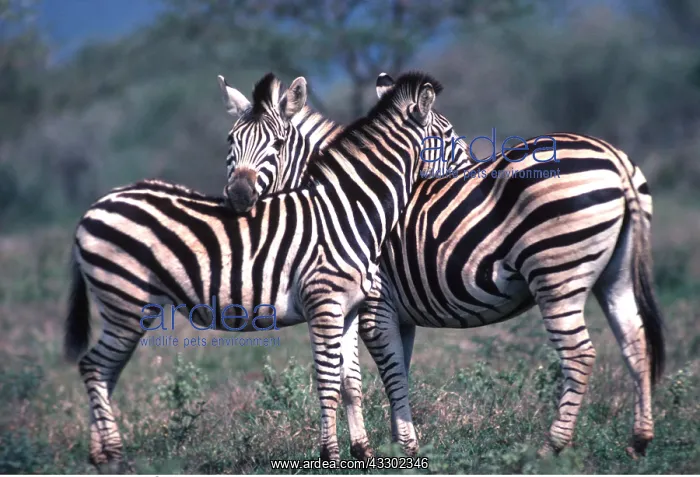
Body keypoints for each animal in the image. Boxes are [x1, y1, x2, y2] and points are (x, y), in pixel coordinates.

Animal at [63, 71, 461, 470]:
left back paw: (100, 455)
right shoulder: (323, 304)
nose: (470, 167)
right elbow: (328, 381)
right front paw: (329, 455)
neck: (349, 211)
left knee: (105, 372)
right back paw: (114, 457)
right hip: (125, 300)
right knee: (94, 367)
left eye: (278, 142)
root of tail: (96, 205)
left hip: (127, 306)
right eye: (446, 135)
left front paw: (362, 451)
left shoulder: (348, 309)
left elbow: (351, 382)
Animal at [220, 72, 665, 459]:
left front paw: (401, 447)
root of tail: (613, 156)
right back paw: (639, 441)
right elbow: (375, 375)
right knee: (634, 340)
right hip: (614, 275)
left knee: (580, 354)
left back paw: (552, 448)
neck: (343, 200)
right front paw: (378, 445)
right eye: (230, 142)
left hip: (557, 272)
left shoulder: (372, 304)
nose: (238, 196)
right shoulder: (385, 311)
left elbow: (376, 374)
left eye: (277, 144)